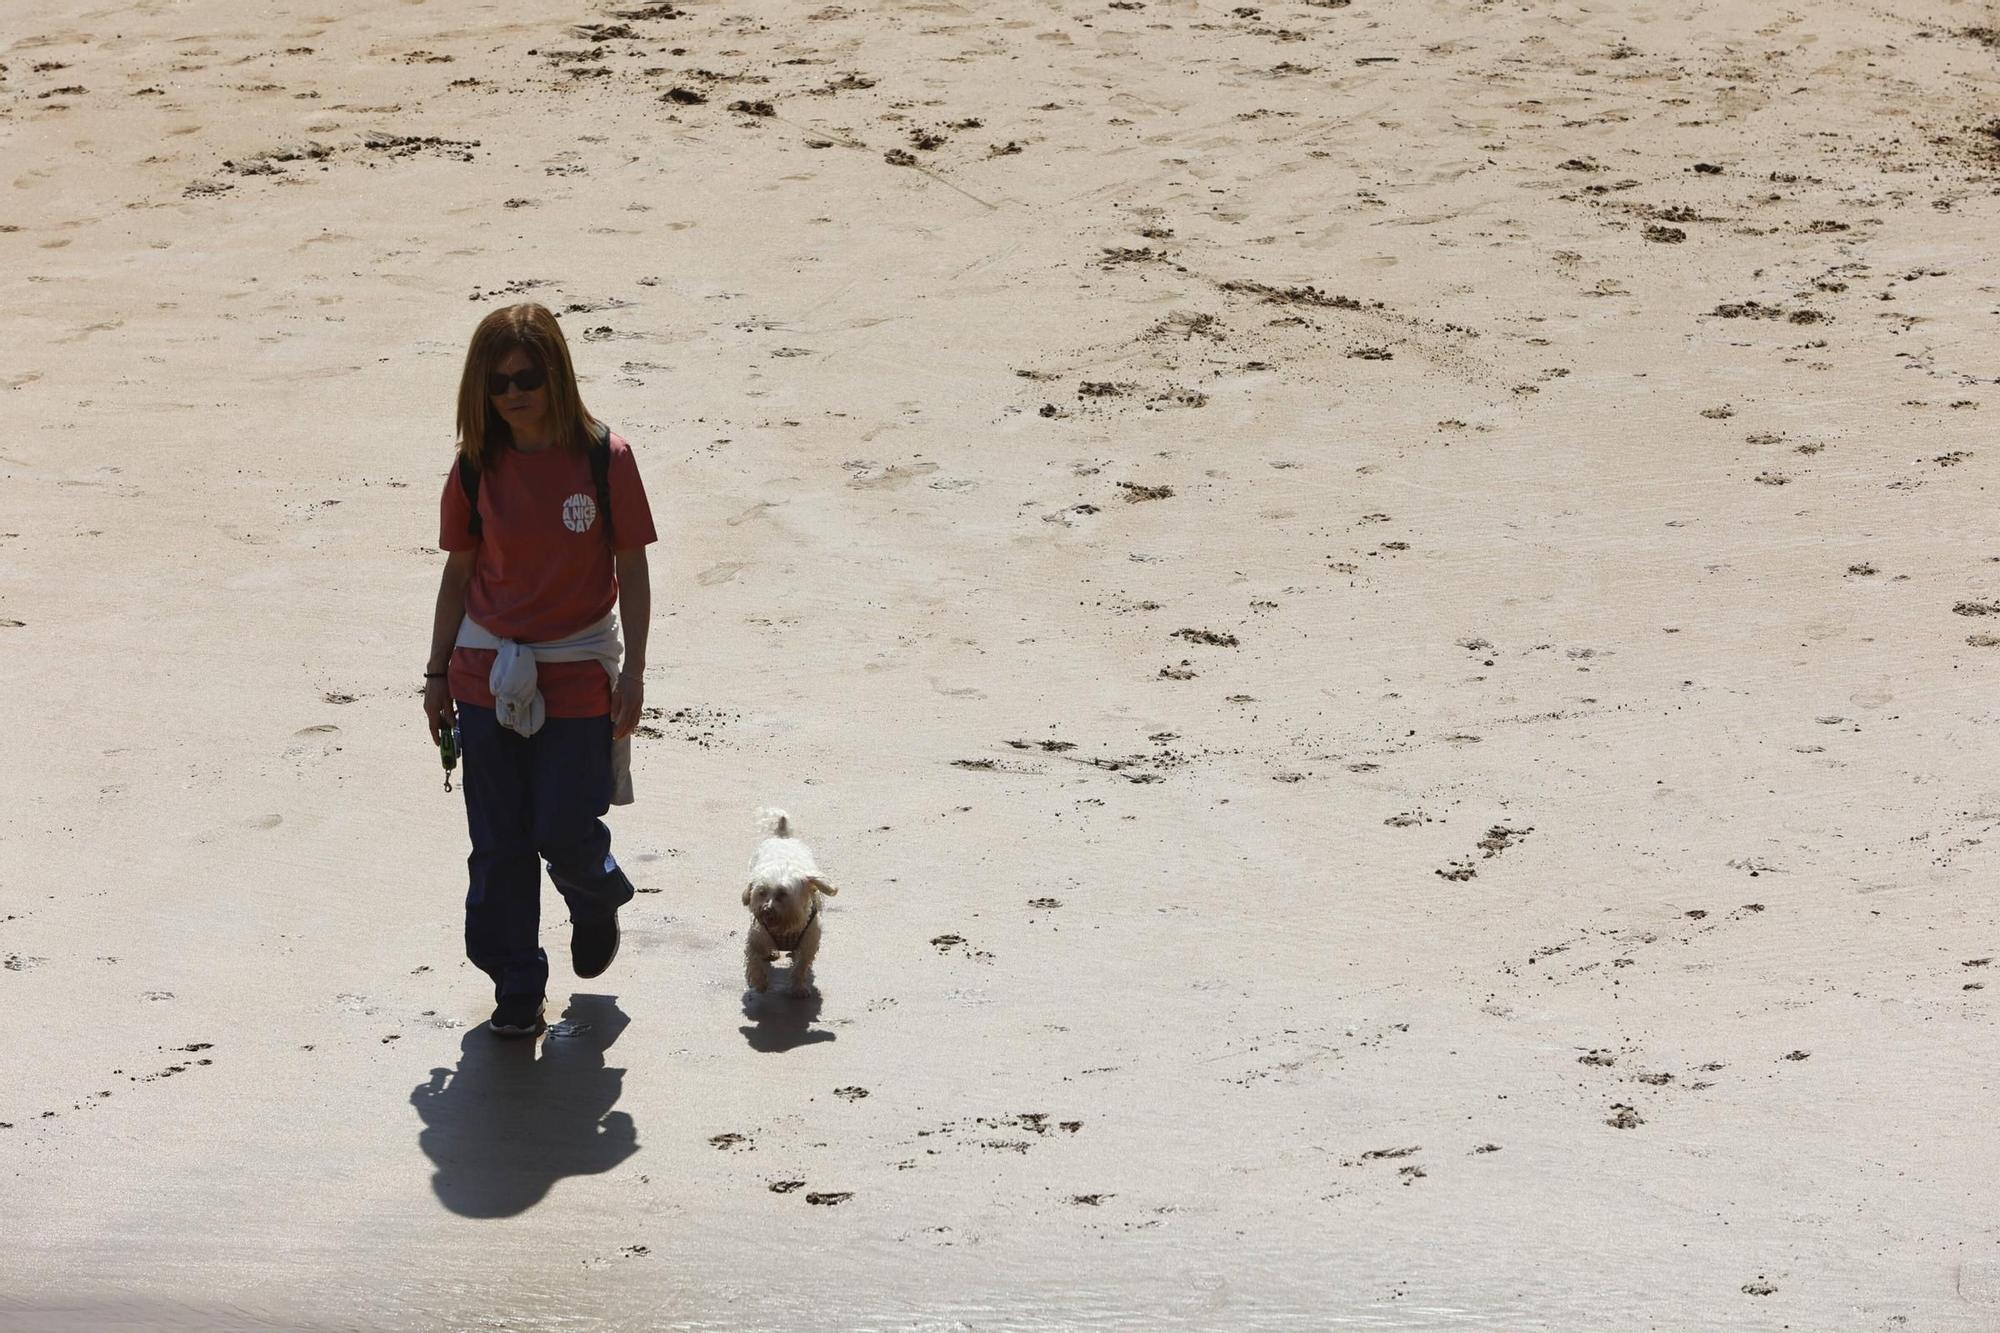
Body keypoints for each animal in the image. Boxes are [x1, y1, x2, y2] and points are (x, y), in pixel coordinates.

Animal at [744, 804, 836, 992]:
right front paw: (760, 982)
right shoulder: (756, 936)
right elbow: (754, 959)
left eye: (782, 893)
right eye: (762, 892)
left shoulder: (809, 942)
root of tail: (782, 837)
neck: (785, 926)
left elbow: (802, 965)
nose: (766, 909)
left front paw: (798, 988)